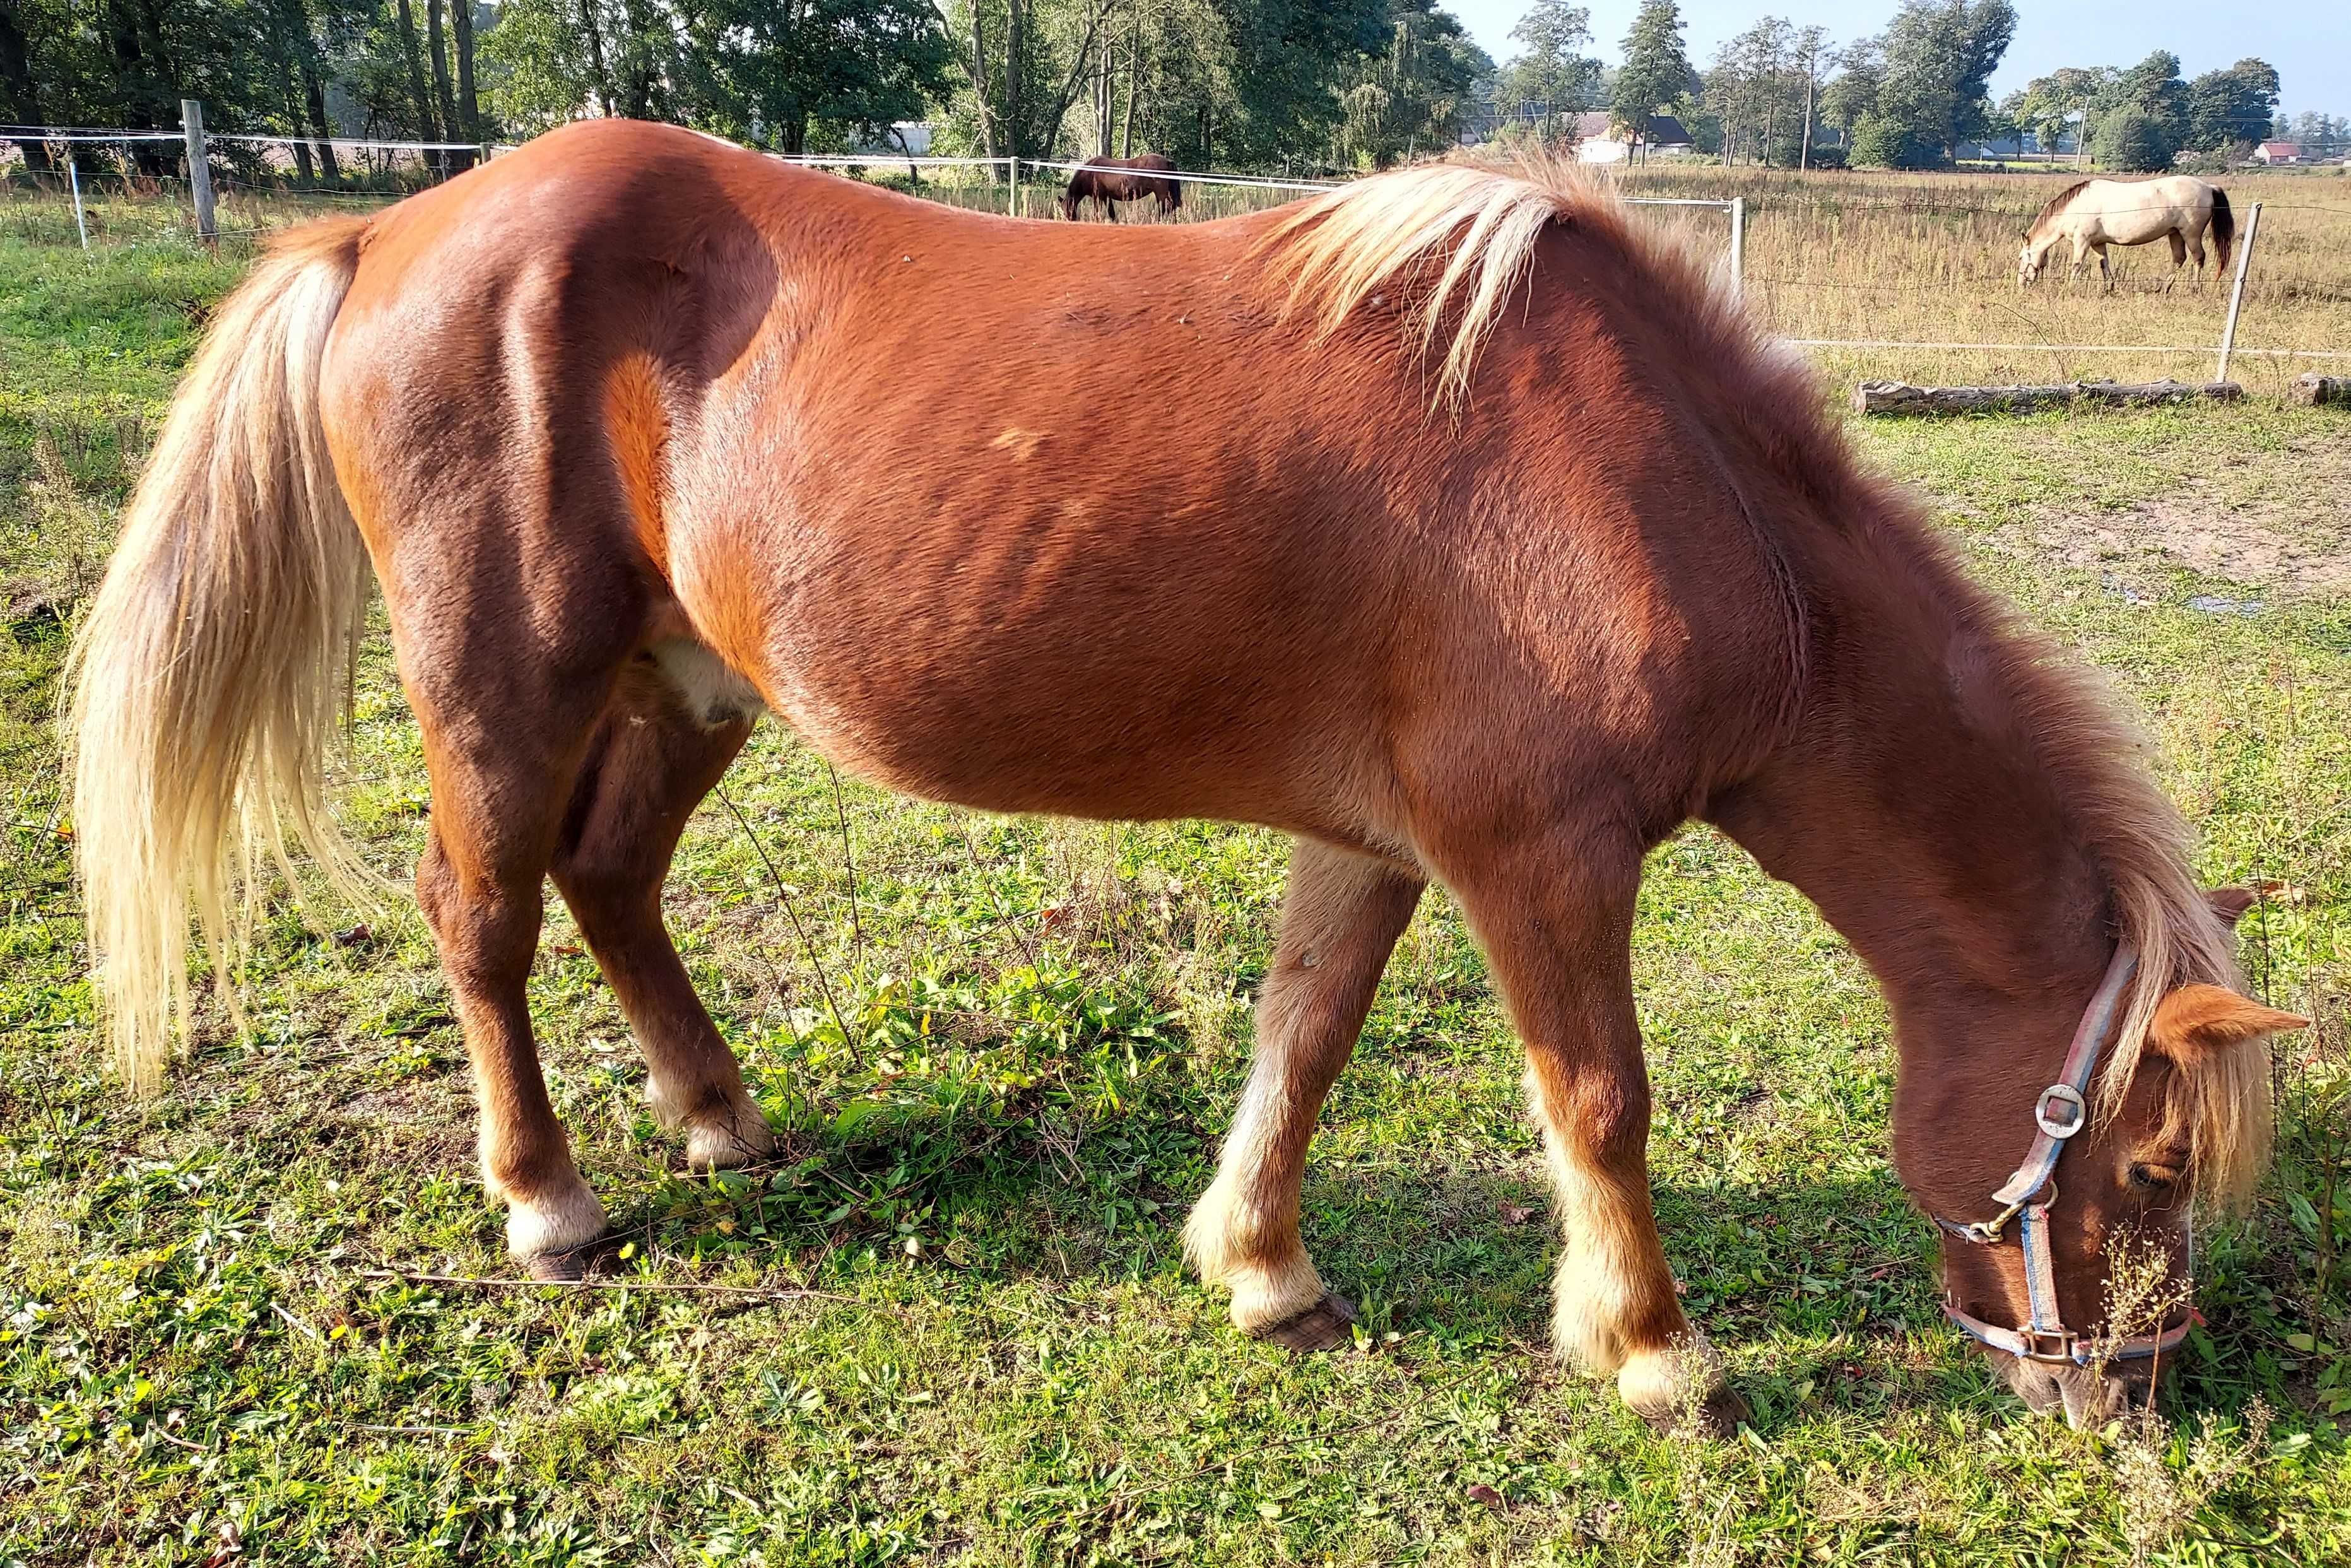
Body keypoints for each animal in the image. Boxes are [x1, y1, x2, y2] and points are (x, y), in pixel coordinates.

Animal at [1063, 153, 1184, 221]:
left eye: (1066, 208)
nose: (1071, 219)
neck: (1091, 172)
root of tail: (1168, 161)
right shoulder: (1106, 197)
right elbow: (1111, 213)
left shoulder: (1098, 197)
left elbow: (1097, 213)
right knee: (1172, 208)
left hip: (1161, 194)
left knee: (1165, 209)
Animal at [2012, 176, 2229, 292]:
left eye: (2022, 258)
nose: (2021, 283)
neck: (2075, 207)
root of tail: (2209, 187)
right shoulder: (2098, 244)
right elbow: (2104, 265)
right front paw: (2110, 288)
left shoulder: (2083, 241)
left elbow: (2077, 265)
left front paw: (2070, 288)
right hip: (2175, 234)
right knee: (2179, 259)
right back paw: (2163, 289)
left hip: (2191, 234)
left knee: (2198, 258)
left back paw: (2195, 289)